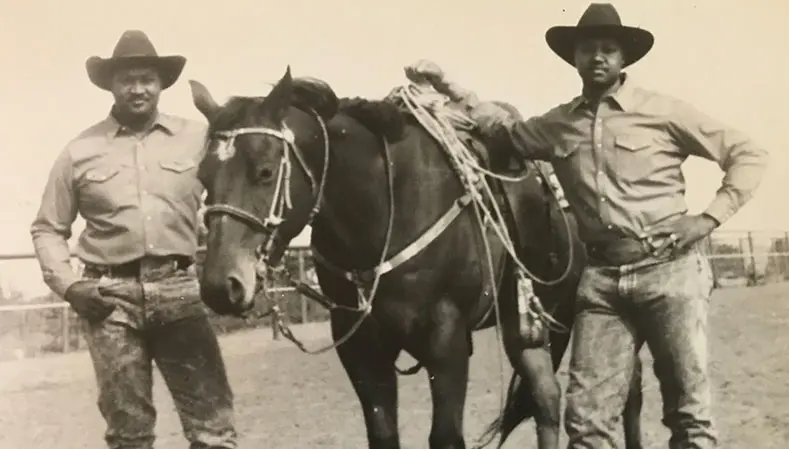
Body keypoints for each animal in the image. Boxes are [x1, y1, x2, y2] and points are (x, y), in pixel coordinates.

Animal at [189, 66, 640, 448]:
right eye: (202, 178)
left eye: (265, 171)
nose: (220, 285)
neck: (389, 207)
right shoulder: (360, 348)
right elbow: (383, 435)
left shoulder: (447, 341)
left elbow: (445, 437)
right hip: (527, 324)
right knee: (547, 399)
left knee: (621, 399)